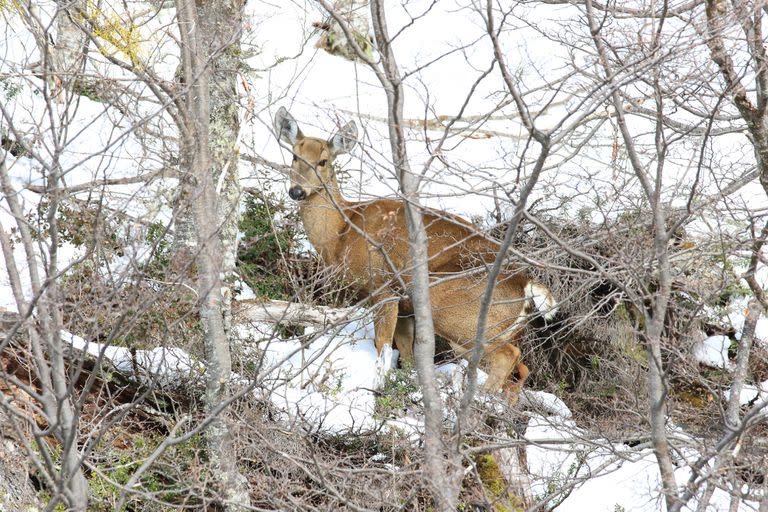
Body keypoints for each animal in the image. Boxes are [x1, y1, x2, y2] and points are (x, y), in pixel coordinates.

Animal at [272, 105, 556, 400]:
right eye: (294, 155)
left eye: (323, 161)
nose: (296, 191)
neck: (342, 231)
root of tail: (525, 283)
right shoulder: (406, 307)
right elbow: (406, 351)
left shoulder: (384, 288)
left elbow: (383, 344)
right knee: (521, 368)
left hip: (454, 308)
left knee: (507, 356)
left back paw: (480, 399)